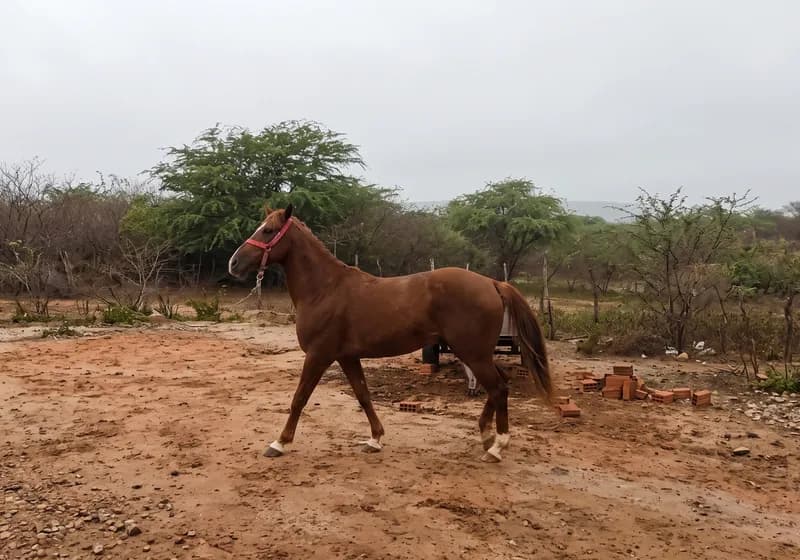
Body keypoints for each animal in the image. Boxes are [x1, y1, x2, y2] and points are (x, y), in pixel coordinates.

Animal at [228, 204, 553, 462]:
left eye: (268, 231)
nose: (234, 263)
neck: (325, 290)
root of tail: (493, 283)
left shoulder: (319, 355)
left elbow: (300, 398)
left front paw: (279, 443)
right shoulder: (347, 357)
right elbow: (363, 395)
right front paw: (375, 439)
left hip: (473, 353)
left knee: (498, 388)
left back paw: (496, 447)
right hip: (477, 353)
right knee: (501, 384)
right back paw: (486, 436)